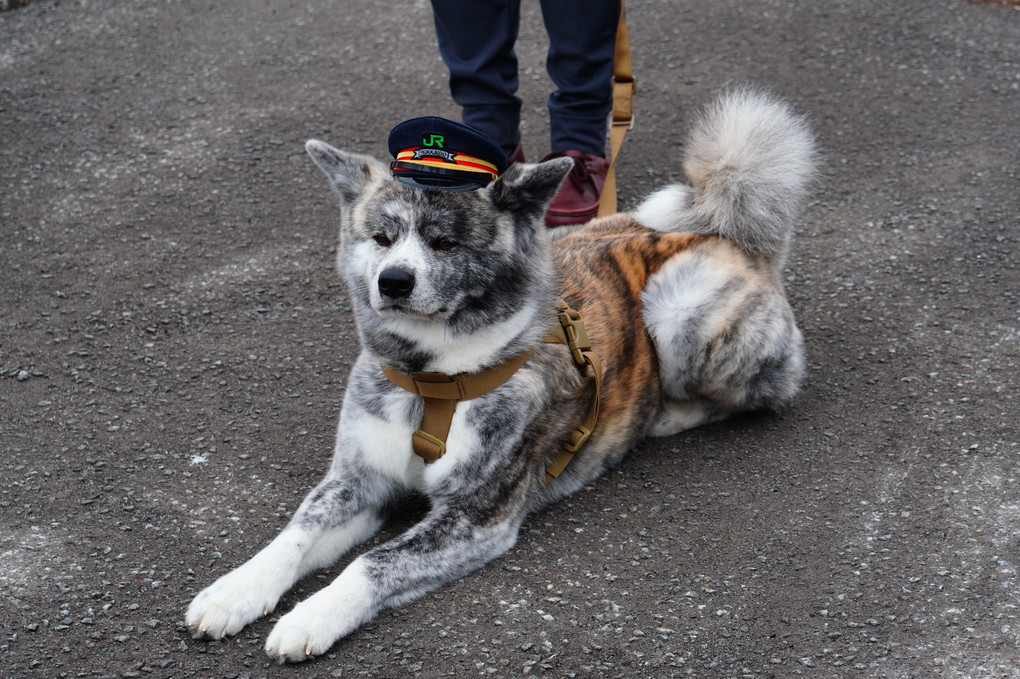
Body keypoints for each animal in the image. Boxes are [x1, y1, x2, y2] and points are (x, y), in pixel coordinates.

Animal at [187, 87, 816, 656]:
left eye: (444, 242)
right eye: (381, 237)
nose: (392, 282)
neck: (435, 378)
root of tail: (727, 235)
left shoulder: (474, 517)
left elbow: (372, 562)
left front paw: (309, 617)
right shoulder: (360, 481)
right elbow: (294, 534)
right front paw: (234, 592)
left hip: (678, 305)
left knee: (768, 387)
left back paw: (666, 414)